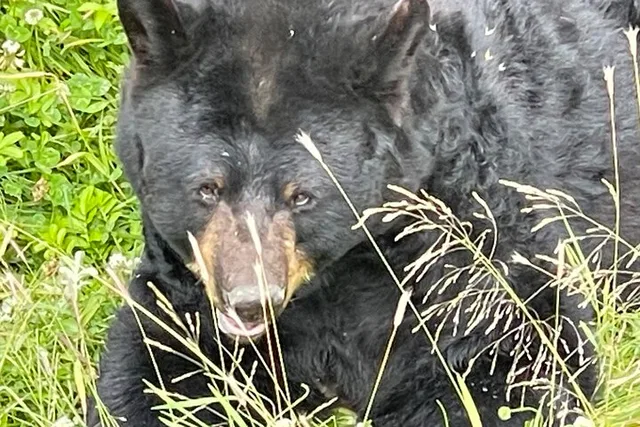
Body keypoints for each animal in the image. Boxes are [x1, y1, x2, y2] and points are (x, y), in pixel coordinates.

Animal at [88, 0, 640, 426]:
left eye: (302, 196)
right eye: (207, 188)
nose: (249, 302)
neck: (335, 276)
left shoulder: (461, 241)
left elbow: (517, 356)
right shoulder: (187, 285)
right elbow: (155, 365)